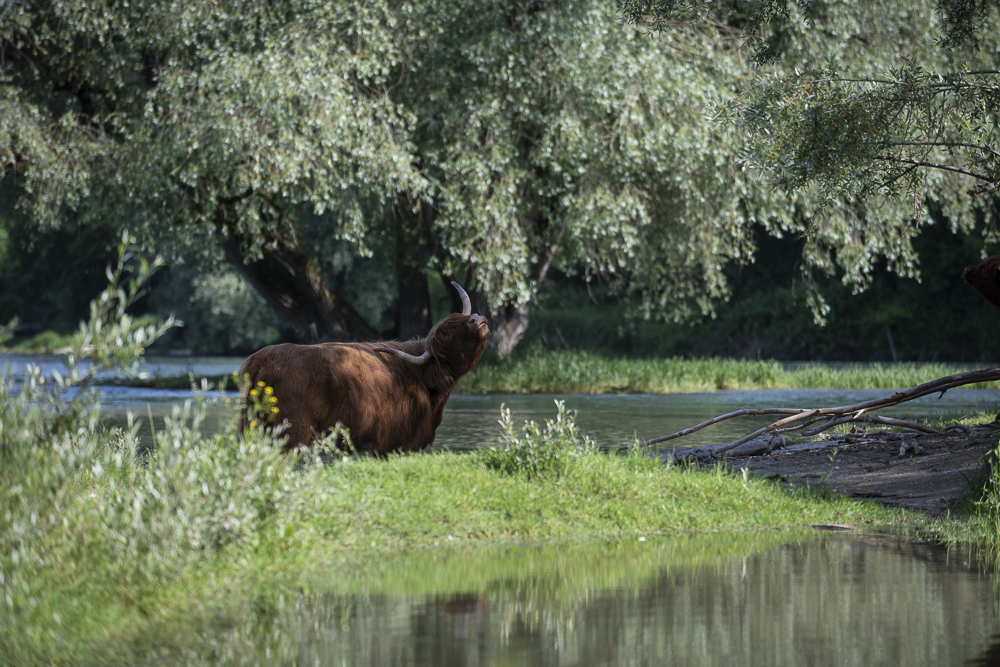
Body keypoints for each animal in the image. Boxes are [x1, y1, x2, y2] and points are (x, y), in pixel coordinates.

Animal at [238, 282, 488, 454]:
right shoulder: (394, 444)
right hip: (294, 431)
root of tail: (259, 359)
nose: (477, 319)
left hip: (249, 426)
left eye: (460, 319)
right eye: (446, 338)